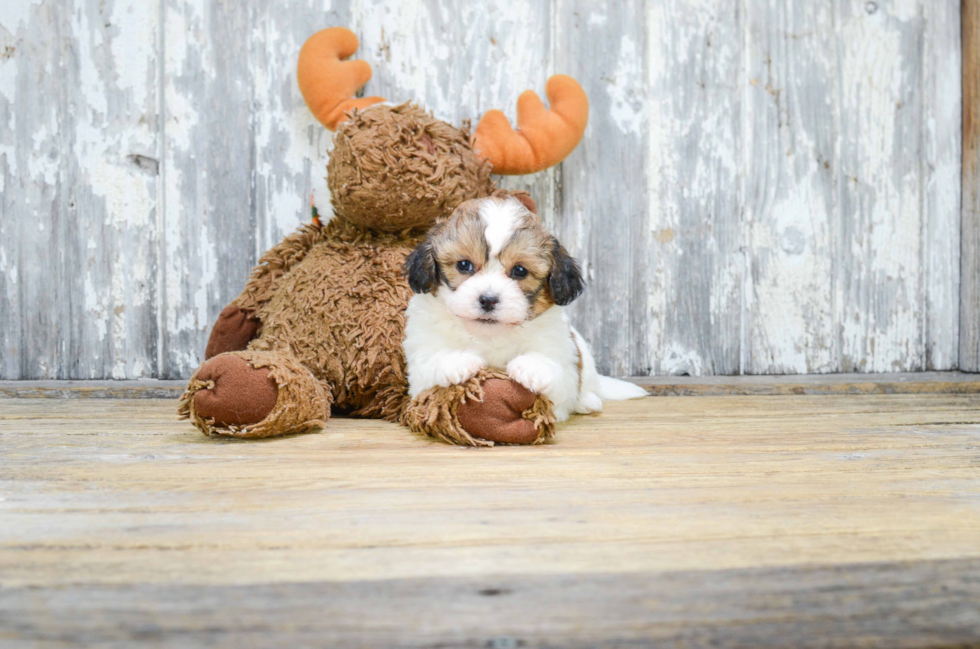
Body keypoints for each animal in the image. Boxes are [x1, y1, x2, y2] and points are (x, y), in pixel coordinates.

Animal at [402, 196, 648, 420]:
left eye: (520, 270)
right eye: (464, 265)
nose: (488, 300)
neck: (490, 336)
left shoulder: (560, 356)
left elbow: (557, 373)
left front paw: (532, 367)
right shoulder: (419, 361)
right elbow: (429, 364)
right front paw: (456, 361)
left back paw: (588, 401)